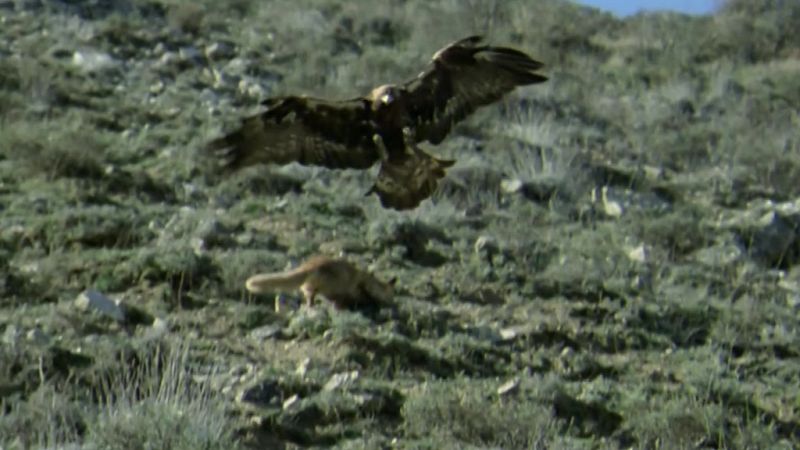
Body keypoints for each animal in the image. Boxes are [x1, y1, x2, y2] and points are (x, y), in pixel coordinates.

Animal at [245, 255, 395, 309]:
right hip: (326, 284)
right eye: (392, 295)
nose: (392, 302)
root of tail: (307, 266)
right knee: (311, 293)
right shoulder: (356, 288)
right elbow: (363, 296)